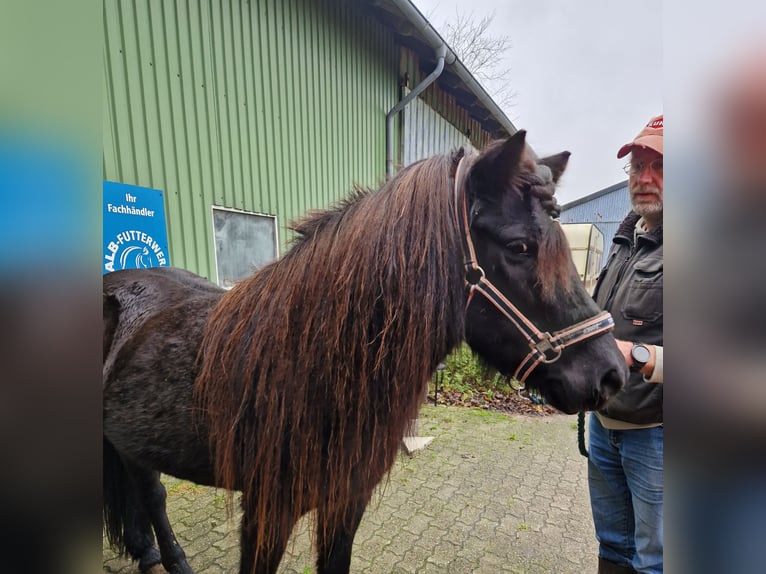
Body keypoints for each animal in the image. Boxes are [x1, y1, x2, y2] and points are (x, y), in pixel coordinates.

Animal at [103, 130, 627, 574]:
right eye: (520, 247)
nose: (613, 374)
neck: (307, 365)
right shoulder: (266, 513)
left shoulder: (345, 505)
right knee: (153, 494)